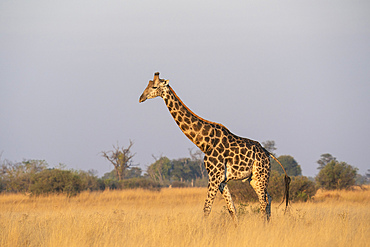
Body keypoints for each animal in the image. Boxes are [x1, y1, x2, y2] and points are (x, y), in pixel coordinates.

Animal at [138, 72, 290, 221]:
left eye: (154, 87)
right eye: (148, 84)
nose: (141, 98)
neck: (204, 143)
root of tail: (267, 153)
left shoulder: (214, 176)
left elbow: (206, 209)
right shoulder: (222, 180)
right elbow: (232, 209)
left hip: (260, 175)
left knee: (263, 201)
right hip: (253, 178)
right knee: (268, 198)